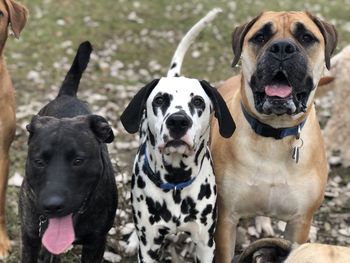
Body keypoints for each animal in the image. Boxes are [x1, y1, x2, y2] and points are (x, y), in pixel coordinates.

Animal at [19, 42, 117, 262]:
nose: (52, 205)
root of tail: (67, 95)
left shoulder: (96, 244)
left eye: (78, 161)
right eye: (39, 162)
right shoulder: (30, 239)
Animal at [120, 8, 235, 263]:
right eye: (160, 99)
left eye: (198, 101)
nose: (178, 121)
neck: (175, 183)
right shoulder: (149, 246)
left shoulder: (205, 244)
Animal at [209, 11, 338, 262]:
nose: (282, 48)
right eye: (260, 37)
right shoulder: (226, 219)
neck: (274, 135)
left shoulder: (300, 223)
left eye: (306, 37)